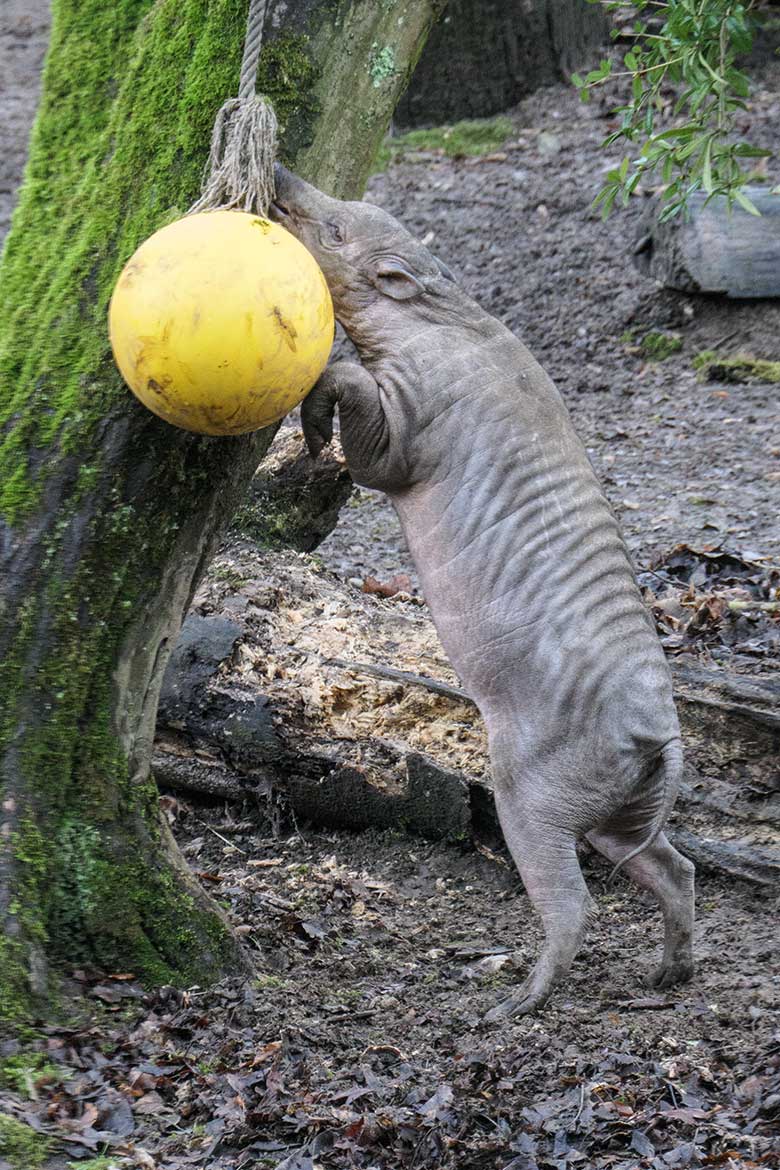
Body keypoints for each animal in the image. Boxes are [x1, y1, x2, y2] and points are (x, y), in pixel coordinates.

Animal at [273, 162, 696, 1015]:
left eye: (336, 229)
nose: (276, 175)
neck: (441, 316)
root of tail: (659, 739)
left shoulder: (403, 432)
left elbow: (345, 385)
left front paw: (312, 430)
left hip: (534, 796)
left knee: (575, 905)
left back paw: (514, 1005)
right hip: (618, 814)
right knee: (678, 869)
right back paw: (668, 975)